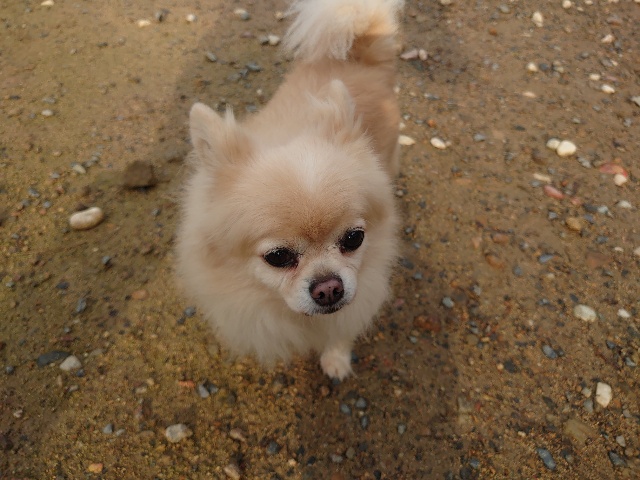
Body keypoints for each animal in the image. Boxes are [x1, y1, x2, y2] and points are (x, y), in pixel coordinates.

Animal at [176, 0, 403, 380]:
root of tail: (355, 54)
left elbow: (342, 328)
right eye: (278, 257)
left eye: (354, 238)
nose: (329, 288)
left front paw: (336, 359)